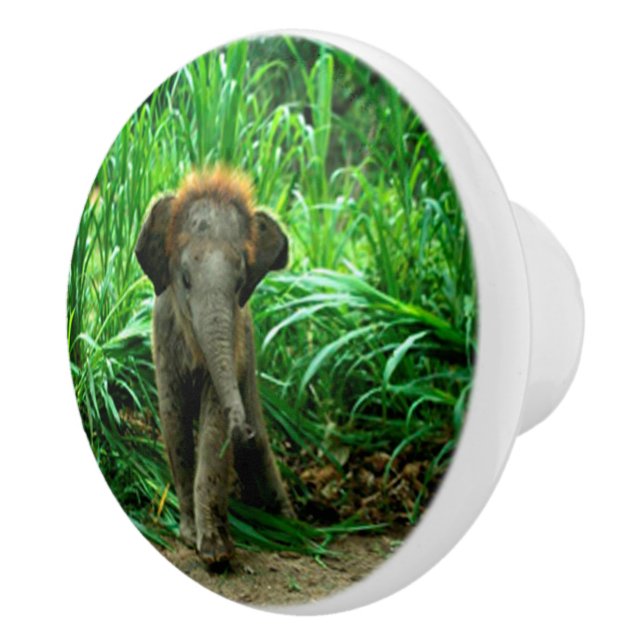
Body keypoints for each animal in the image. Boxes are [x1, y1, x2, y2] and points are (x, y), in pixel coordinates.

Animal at [135, 166, 294, 566]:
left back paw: (292, 525)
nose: (244, 430)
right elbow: (173, 421)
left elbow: (213, 426)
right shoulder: (162, 336)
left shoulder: (236, 341)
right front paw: (190, 536)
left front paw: (216, 554)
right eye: (185, 280)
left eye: (240, 284)